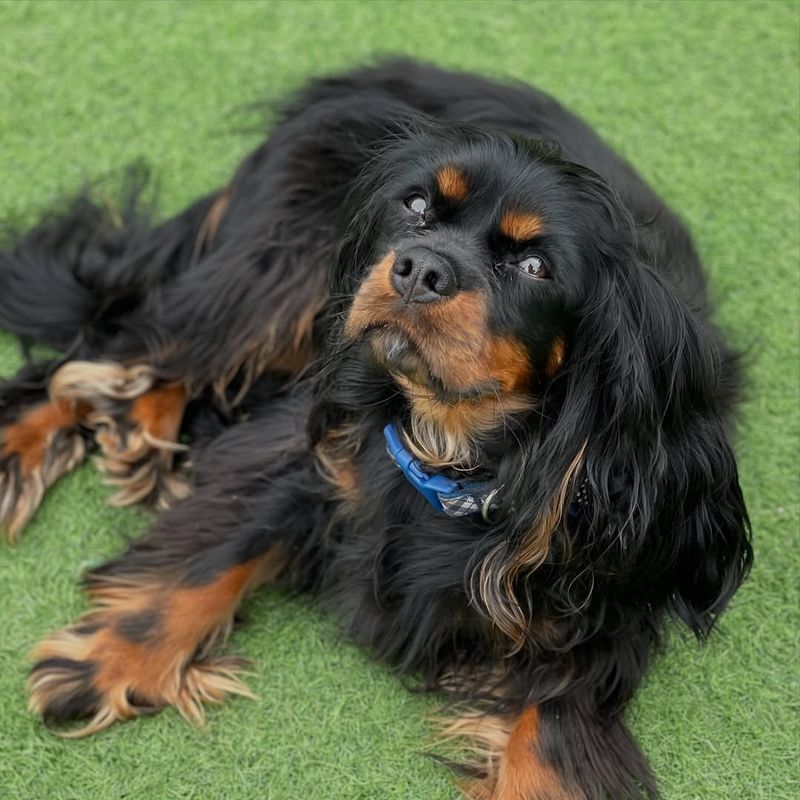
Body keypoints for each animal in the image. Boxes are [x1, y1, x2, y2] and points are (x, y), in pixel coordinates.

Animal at [0, 62, 752, 800]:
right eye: (416, 208)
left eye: (535, 266)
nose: (421, 267)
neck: (453, 446)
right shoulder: (311, 441)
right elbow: (222, 543)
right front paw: (108, 660)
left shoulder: (603, 596)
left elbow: (549, 734)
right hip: (278, 267)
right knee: (121, 348)